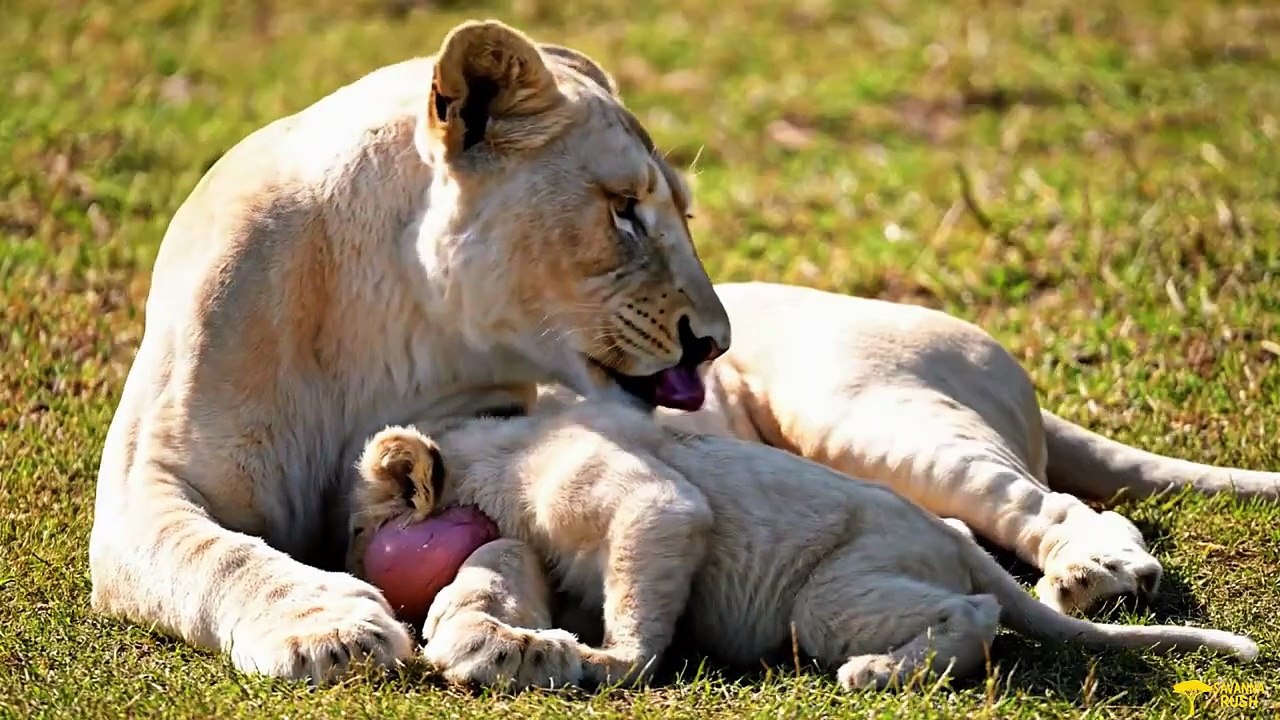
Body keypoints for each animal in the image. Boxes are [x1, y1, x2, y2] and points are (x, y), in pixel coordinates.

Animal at [88, 20, 730, 683]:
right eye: (624, 209)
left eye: (683, 212)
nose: (713, 341)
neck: (380, 313)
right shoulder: (149, 482)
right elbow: (224, 557)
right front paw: (329, 632)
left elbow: (505, 547)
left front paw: (505, 640)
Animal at [350, 396, 1259, 692]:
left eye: (360, 526)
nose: (353, 556)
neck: (494, 448)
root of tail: (951, 543)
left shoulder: (648, 501)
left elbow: (639, 620)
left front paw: (605, 663)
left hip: (828, 597)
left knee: (973, 615)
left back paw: (875, 674)